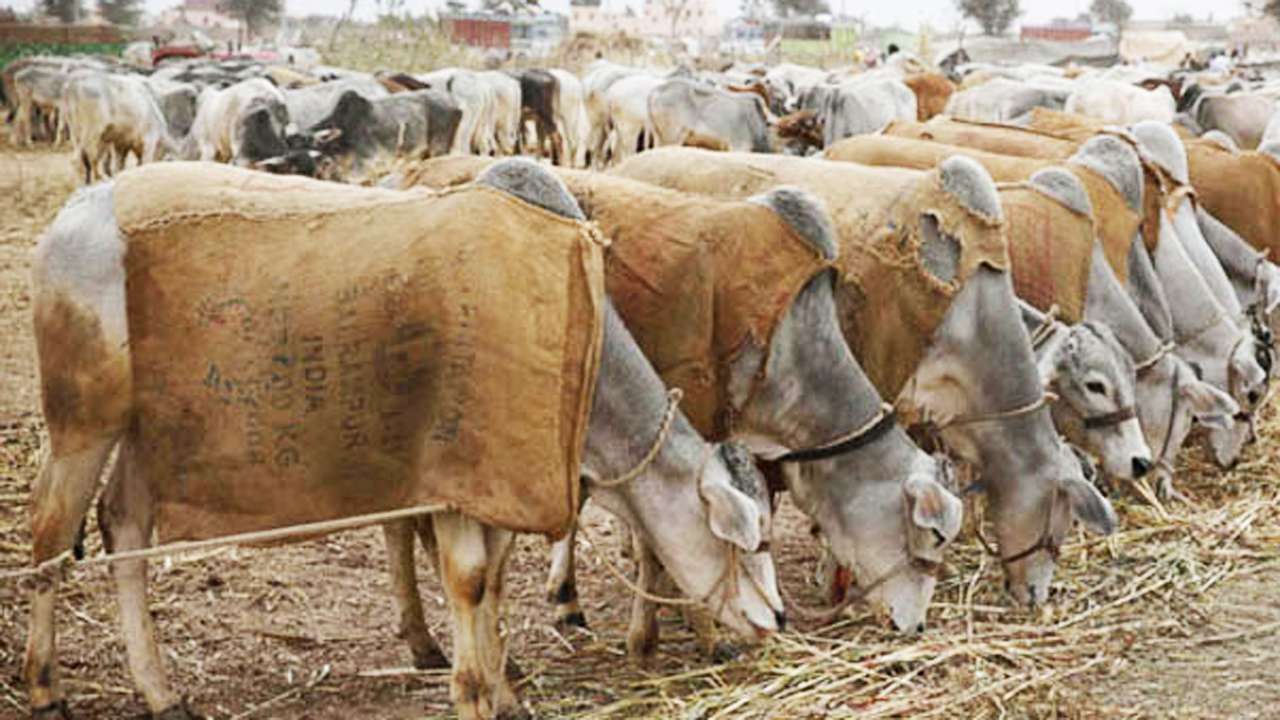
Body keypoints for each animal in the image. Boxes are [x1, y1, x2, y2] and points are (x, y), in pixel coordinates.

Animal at [22, 159, 778, 717]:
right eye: (741, 539)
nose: (775, 621)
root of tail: (77, 209)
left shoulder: (497, 486)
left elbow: (495, 581)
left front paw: (504, 690)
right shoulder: (455, 481)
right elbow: (470, 582)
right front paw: (474, 693)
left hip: (146, 429)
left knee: (124, 524)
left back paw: (158, 689)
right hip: (84, 421)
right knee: (53, 533)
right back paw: (45, 685)